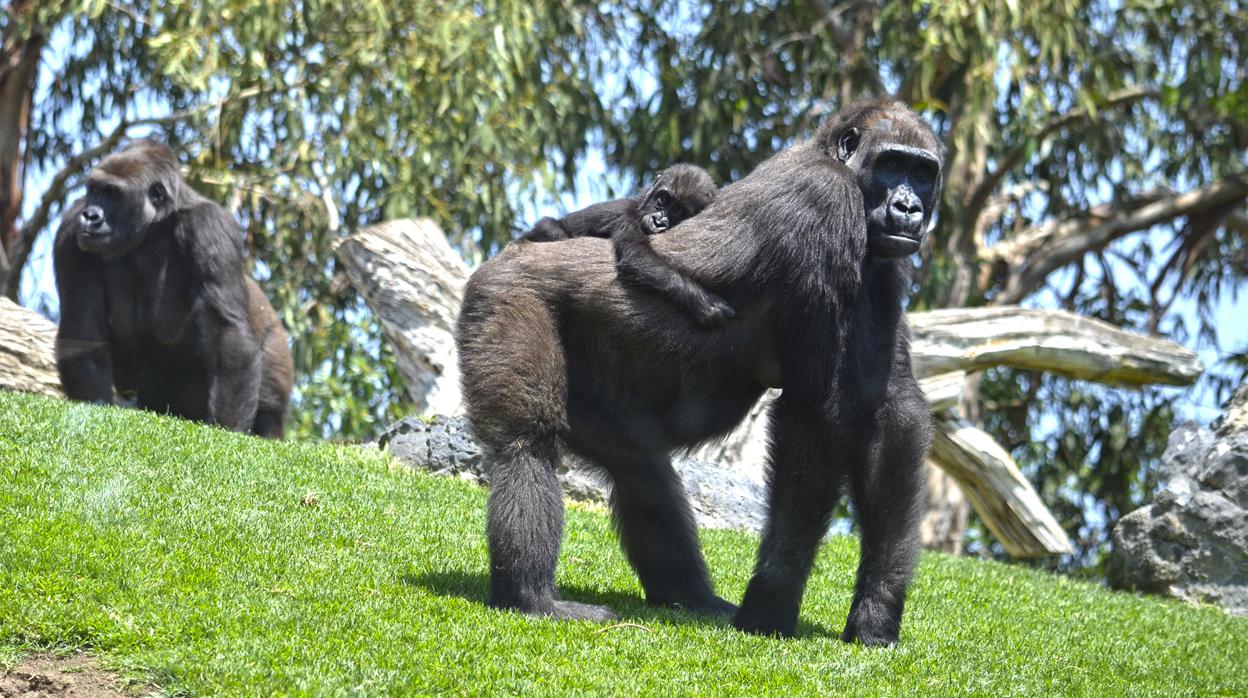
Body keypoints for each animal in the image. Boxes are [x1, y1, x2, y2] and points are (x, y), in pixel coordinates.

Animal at [53, 139, 294, 439]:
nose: (90, 216)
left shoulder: (208, 224)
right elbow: (82, 330)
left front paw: (227, 431)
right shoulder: (70, 227)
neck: (152, 228)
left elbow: (226, 326)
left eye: (112, 193)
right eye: (94, 190)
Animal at [521, 164, 733, 327]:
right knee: (552, 230)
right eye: (663, 199)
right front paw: (703, 302)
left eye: (679, 212)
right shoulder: (627, 218)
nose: (658, 221)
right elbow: (637, 257)